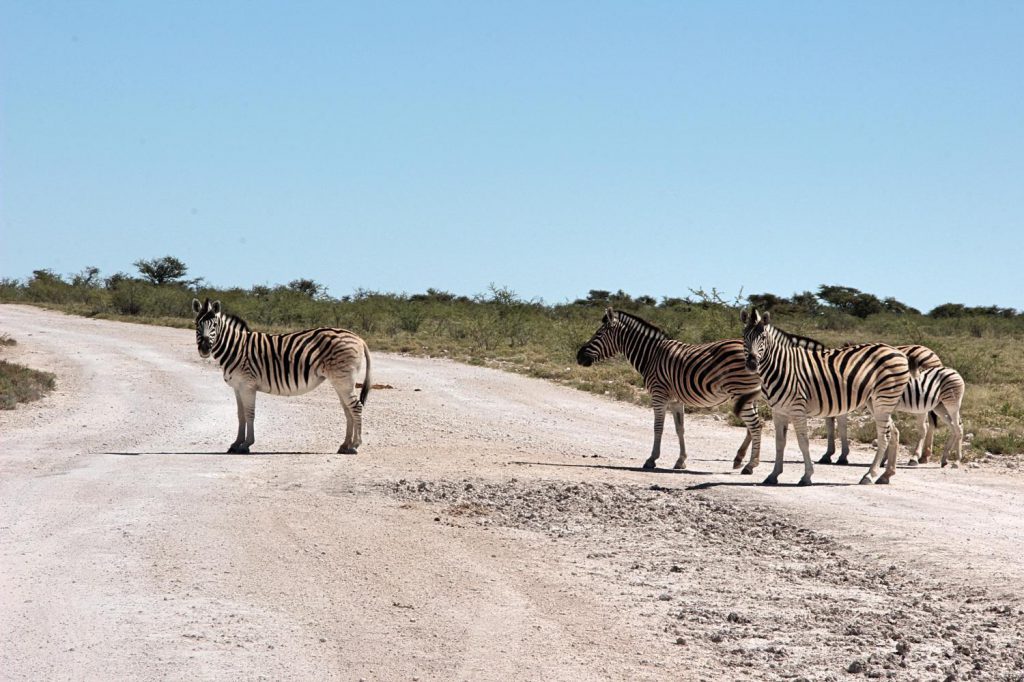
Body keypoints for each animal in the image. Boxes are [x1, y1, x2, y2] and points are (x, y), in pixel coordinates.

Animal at [192, 296, 372, 450]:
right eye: (196, 324)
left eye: (214, 325)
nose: (205, 349)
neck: (236, 348)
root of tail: (358, 338)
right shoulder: (237, 387)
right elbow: (240, 415)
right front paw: (236, 443)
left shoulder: (248, 386)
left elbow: (250, 414)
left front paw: (247, 444)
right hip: (340, 381)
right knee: (348, 409)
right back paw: (345, 445)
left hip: (344, 379)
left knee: (356, 407)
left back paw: (355, 445)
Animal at [577, 307, 761, 473]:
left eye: (599, 334)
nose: (578, 356)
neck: (651, 355)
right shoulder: (675, 401)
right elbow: (680, 429)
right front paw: (681, 461)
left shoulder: (658, 395)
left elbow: (658, 427)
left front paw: (651, 459)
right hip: (749, 395)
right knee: (752, 427)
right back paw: (739, 459)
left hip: (741, 391)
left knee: (755, 425)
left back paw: (750, 465)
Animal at [741, 307, 917, 483]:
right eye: (744, 337)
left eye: (763, 338)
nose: (751, 364)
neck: (782, 367)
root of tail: (898, 352)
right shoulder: (778, 411)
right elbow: (779, 443)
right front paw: (773, 475)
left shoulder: (797, 409)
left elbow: (803, 442)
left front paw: (807, 476)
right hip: (875, 402)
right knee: (894, 432)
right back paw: (886, 475)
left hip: (884, 400)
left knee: (884, 436)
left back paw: (869, 475)